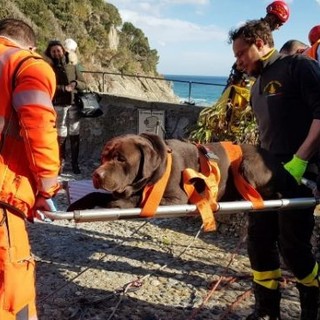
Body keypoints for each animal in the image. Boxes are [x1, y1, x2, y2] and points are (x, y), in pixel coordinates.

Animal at [67, 131, 298, 211]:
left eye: (121, 158)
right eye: (103, 157)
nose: (97, 175)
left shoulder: (175, 198)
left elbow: (138, 200)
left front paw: (119, 203)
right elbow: (94, 194)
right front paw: (78, 204)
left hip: (247, 165)